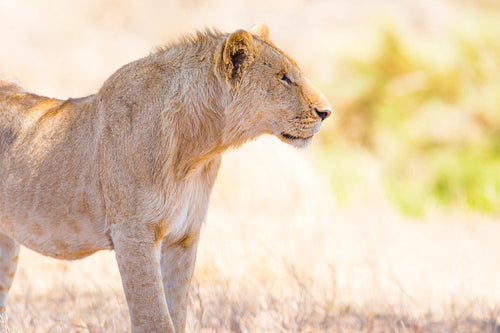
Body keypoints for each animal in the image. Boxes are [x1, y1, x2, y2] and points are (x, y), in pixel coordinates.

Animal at [0, 24, 332, 330]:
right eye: (283, 78)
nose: (326, 112)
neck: (196, 153)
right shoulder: (133, 234)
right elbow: (155, 319)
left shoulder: (184, 237)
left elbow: (178, 314)